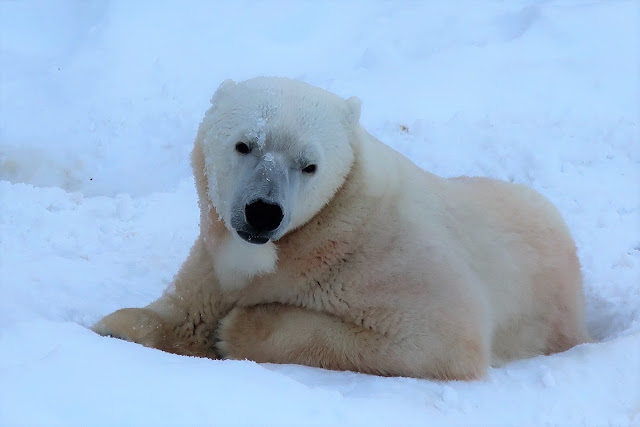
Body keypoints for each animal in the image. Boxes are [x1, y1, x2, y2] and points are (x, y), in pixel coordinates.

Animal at [92, 77, 592, 382]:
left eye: (309, 165)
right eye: (245, 144)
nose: (263, 212)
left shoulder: (392, 262)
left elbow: (439, 340)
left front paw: (232, 330)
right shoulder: (215, 259)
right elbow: (183, 310)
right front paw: (115, 327)